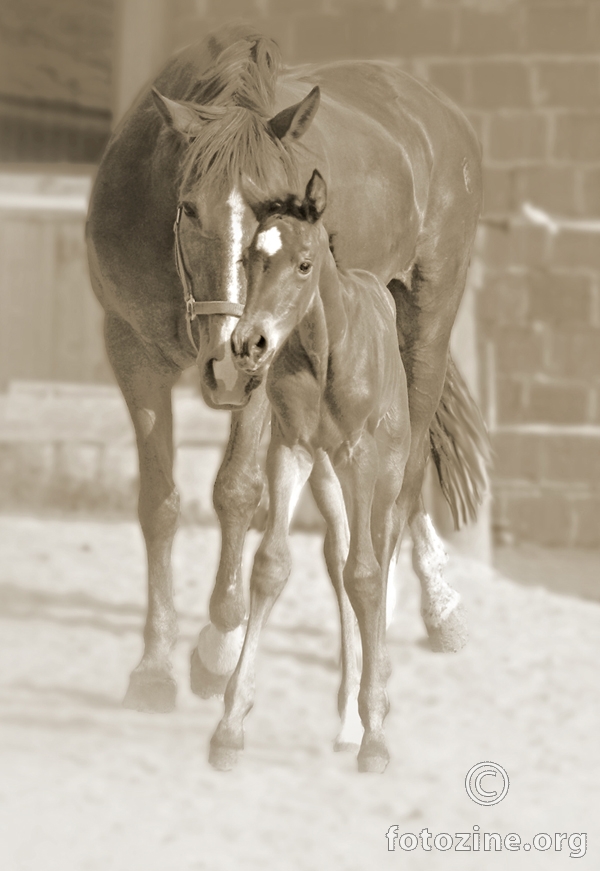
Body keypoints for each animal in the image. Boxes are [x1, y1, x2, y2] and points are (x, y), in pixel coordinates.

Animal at [209, 170, 410, 776]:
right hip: (325, 476)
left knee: (380, 549)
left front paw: (376, 738)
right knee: (339, 553)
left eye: (303, 264)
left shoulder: (360, 456)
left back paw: (372, 703)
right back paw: (347, 720)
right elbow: (272, 565)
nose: (248, 343)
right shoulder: (291, 448)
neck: (326, 354)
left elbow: (367, 575)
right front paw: (229, 729)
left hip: (386, 472)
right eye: (250, 259)